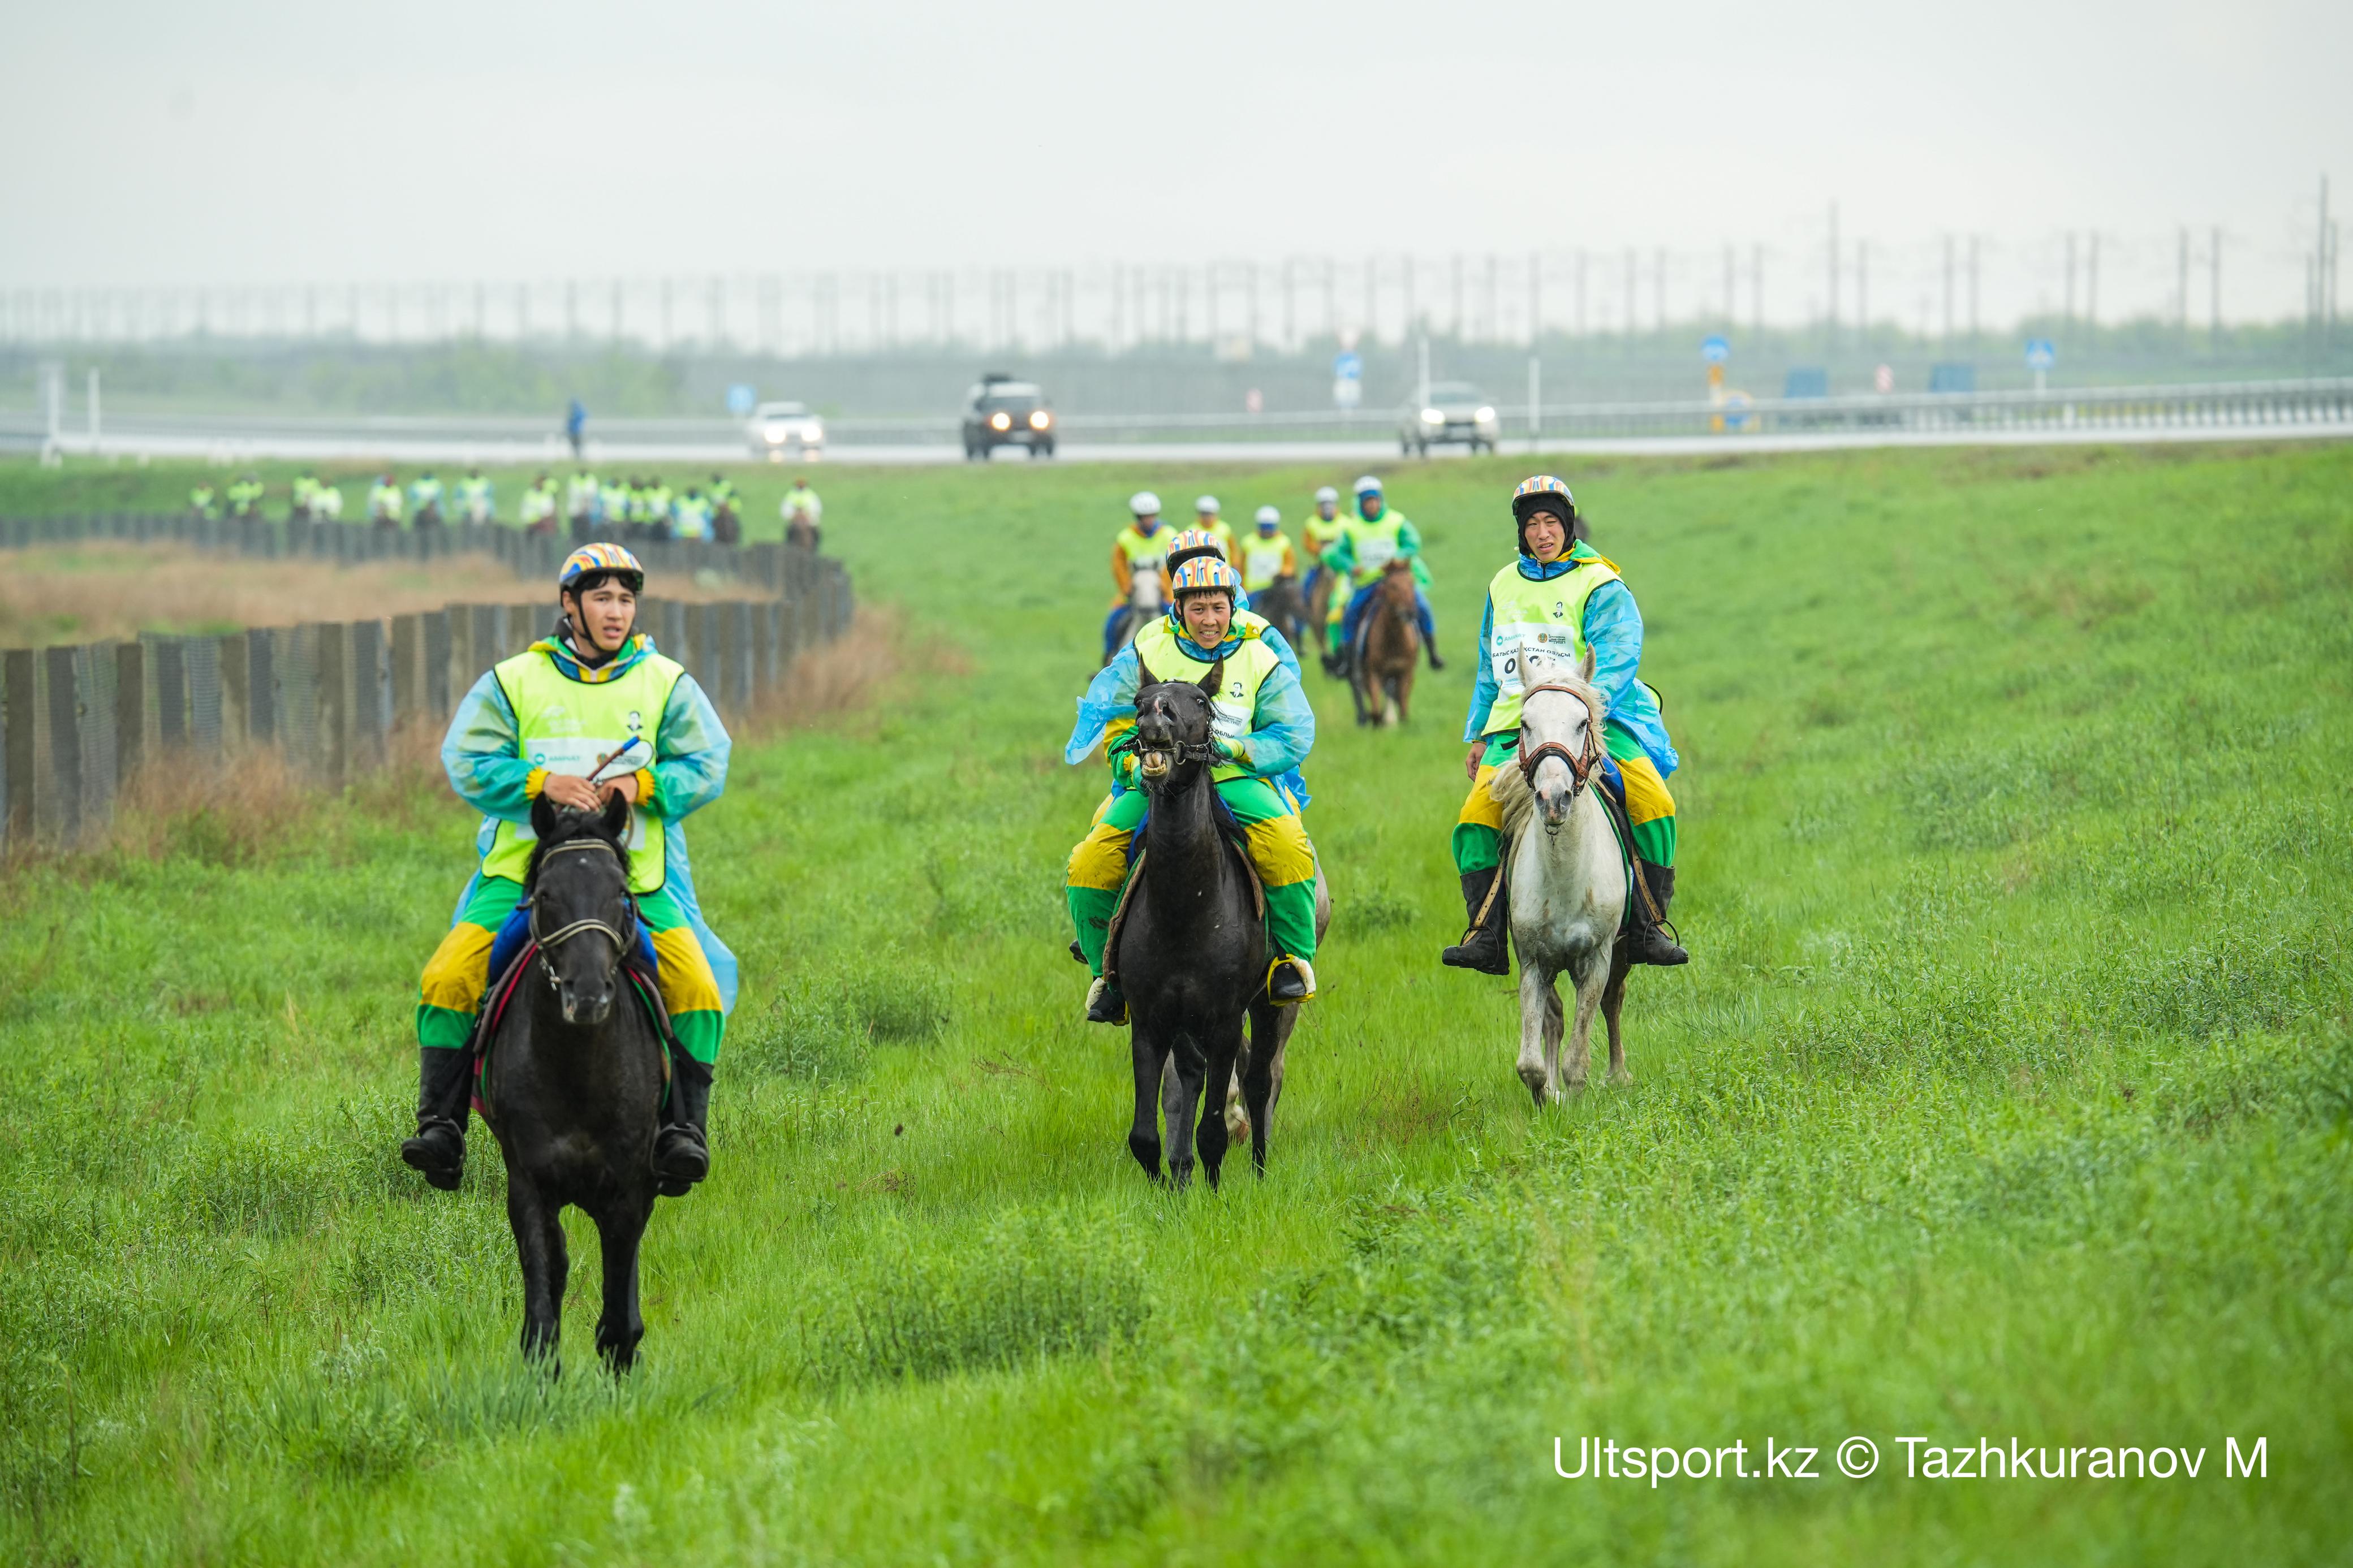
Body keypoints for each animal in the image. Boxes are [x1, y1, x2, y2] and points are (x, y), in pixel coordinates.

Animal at [480, 799, 673, 1372]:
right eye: (546, 895)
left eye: (621, 893)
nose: (587, 994)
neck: (578, 1074)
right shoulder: (528, 1185)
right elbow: (544, 1300)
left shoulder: (629, 1190)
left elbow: (620, 1316)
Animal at [1115, 658, 1299, 1185]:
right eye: (1139, 701)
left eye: (1200, 701)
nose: (1156, 722)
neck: (1185, 909)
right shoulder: (1150, 1022)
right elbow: (1144, 1135)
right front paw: (1168, 1187)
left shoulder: (1224, 1020)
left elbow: (1215, 1127)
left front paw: (1214, 1190)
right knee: (1191, 1078)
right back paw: (1181, 1171)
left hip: (1268, 1004)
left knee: (1260, 1080)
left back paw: (1258, 1169)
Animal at [1355, 557, 1421, 728]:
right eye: (1393, 586)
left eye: (1412, 582)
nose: (1410, 612)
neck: (1393, 640)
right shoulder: (1374, 673)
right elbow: (1376, 710)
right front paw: (1381, 722)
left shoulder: (1405, 672)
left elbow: (1403, 708)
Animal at [1487, 649, 1637, 1104]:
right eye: (1525, 723)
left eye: (1582, 722)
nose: (1554, 800)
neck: (1566, 880)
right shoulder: (1534, 960)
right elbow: (1531, 1061)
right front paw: (1548, 1096)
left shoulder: (1599, 957)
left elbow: (1579, 1054)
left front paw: (1577, 1096)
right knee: (1554, 1017)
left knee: (1613, 1002)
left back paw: (1619, 1075)